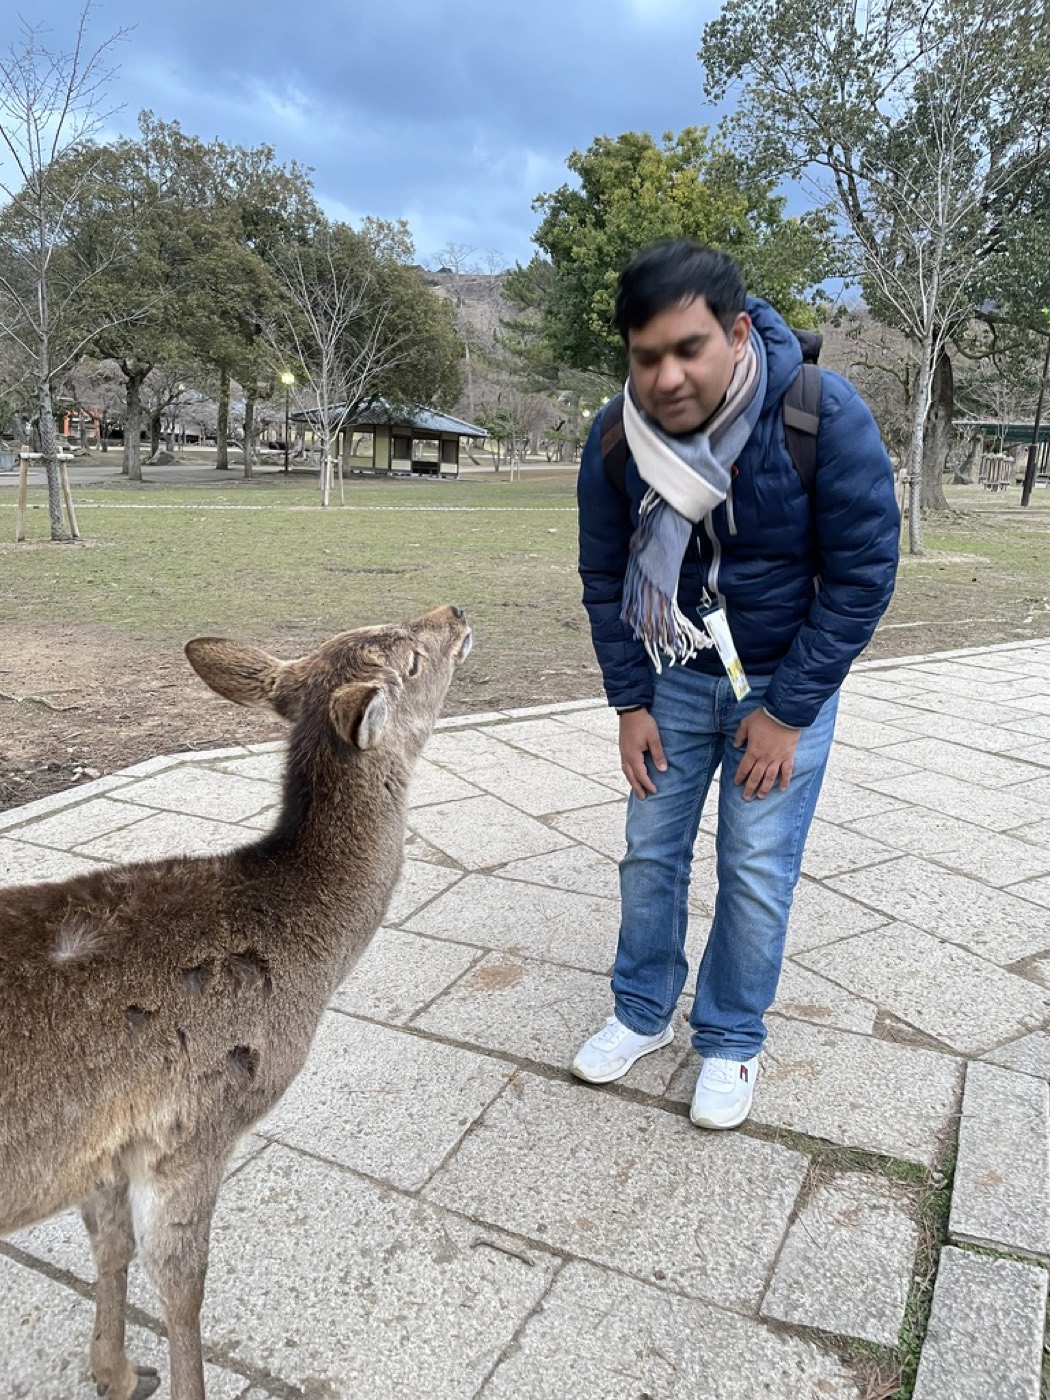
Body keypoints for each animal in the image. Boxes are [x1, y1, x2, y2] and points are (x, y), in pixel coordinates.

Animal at [0, 605, 472, 1400]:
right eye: (409, 658)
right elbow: (182, 1284)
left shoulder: (104, 1144)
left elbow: (109, 1244)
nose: (454, 613)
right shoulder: (196, 1120)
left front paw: (116, 1372)